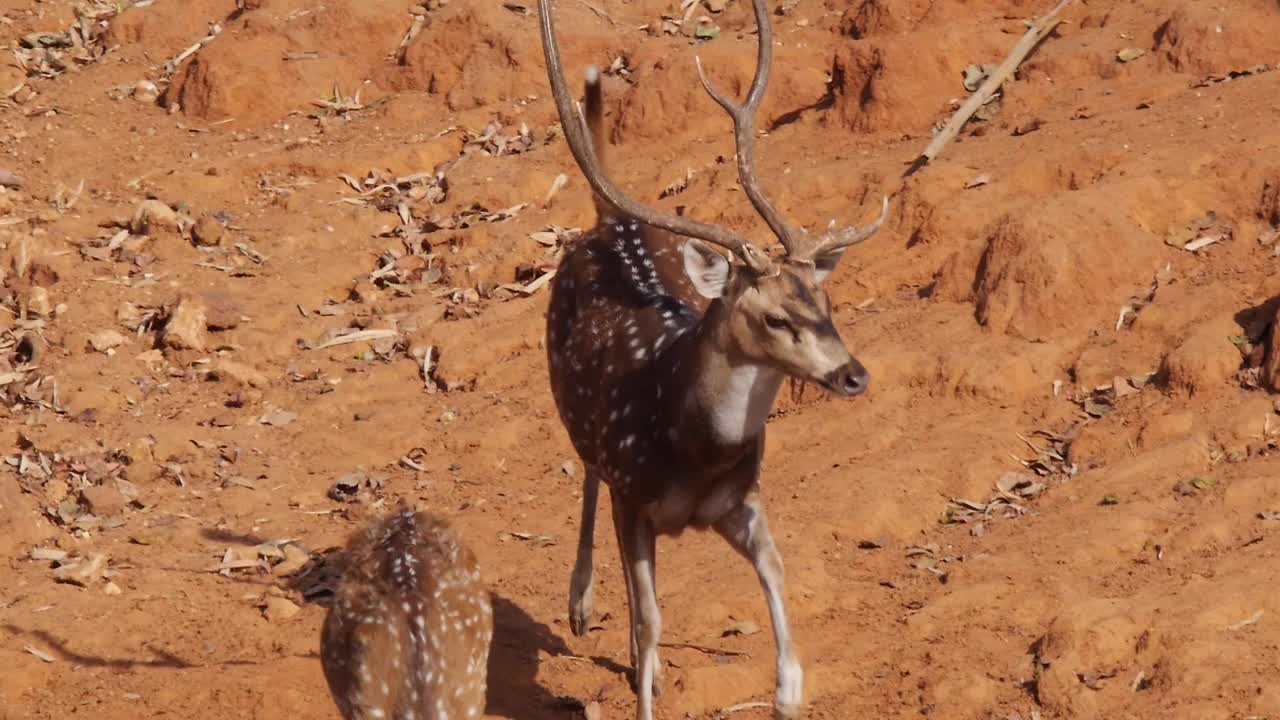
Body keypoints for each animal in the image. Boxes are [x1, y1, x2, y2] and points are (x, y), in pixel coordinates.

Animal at [535, 0, 885, 712]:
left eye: (826, 301)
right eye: (775, 317)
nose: (853, 374)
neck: (692, 448)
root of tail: (609, 218)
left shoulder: (738, 500)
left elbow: (775, 568)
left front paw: (788, 690)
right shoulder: (633, 496)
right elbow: (650, 618)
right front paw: (644, 689)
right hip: (575, 409)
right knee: (586, 468)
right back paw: (581, 605)